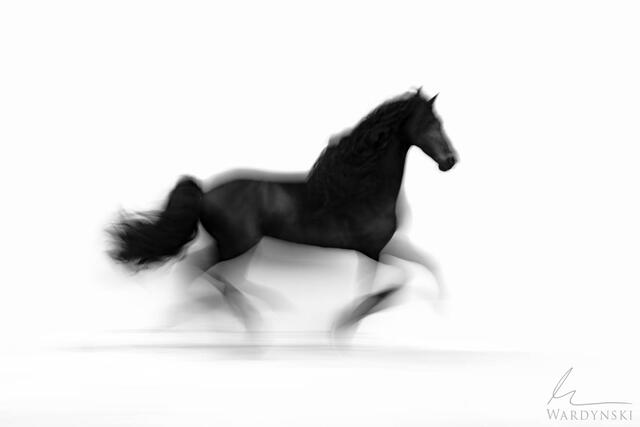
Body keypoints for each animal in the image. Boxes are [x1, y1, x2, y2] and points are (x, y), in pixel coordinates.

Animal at [107, 88, 457, 333]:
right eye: (430, 124)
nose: (450, 161)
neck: (363, 188)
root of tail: (205, 192)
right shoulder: (372, 250)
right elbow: (396, 283)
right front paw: (347, 323)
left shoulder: (381, 246)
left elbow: (425, 265)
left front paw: (438, 303)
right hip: (238, 244)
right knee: (201, 269)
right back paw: (251, 318)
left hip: (238, 245)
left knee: (215, 274)